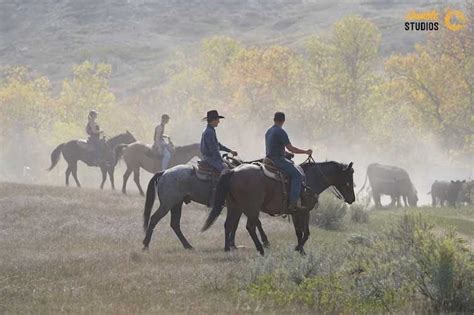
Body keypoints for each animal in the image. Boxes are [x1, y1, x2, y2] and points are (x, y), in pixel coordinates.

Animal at [140, 156, 270, 252]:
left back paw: (188, 246)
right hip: (167, 205)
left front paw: (233, 244)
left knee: (175, 224)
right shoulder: (244, 206)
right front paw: (265, 241)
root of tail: (164, 172)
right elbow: (255, 222)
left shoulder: (238, 207)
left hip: (177, 204)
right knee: (154, 219)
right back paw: (146, 245)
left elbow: (236, 224)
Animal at [202, 160, 354, 256]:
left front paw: (300, 250)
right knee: (250, 227)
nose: (352, 199)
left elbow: (298, 232)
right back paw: (260, 249)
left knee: (228, 224)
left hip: (235, 206)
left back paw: (227, 249)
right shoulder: (305, 211)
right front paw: (299, 248)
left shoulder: (295, 212)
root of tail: (233, 170)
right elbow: (306, 233)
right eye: (349, 179)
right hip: (252, 208)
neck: (310, 180)